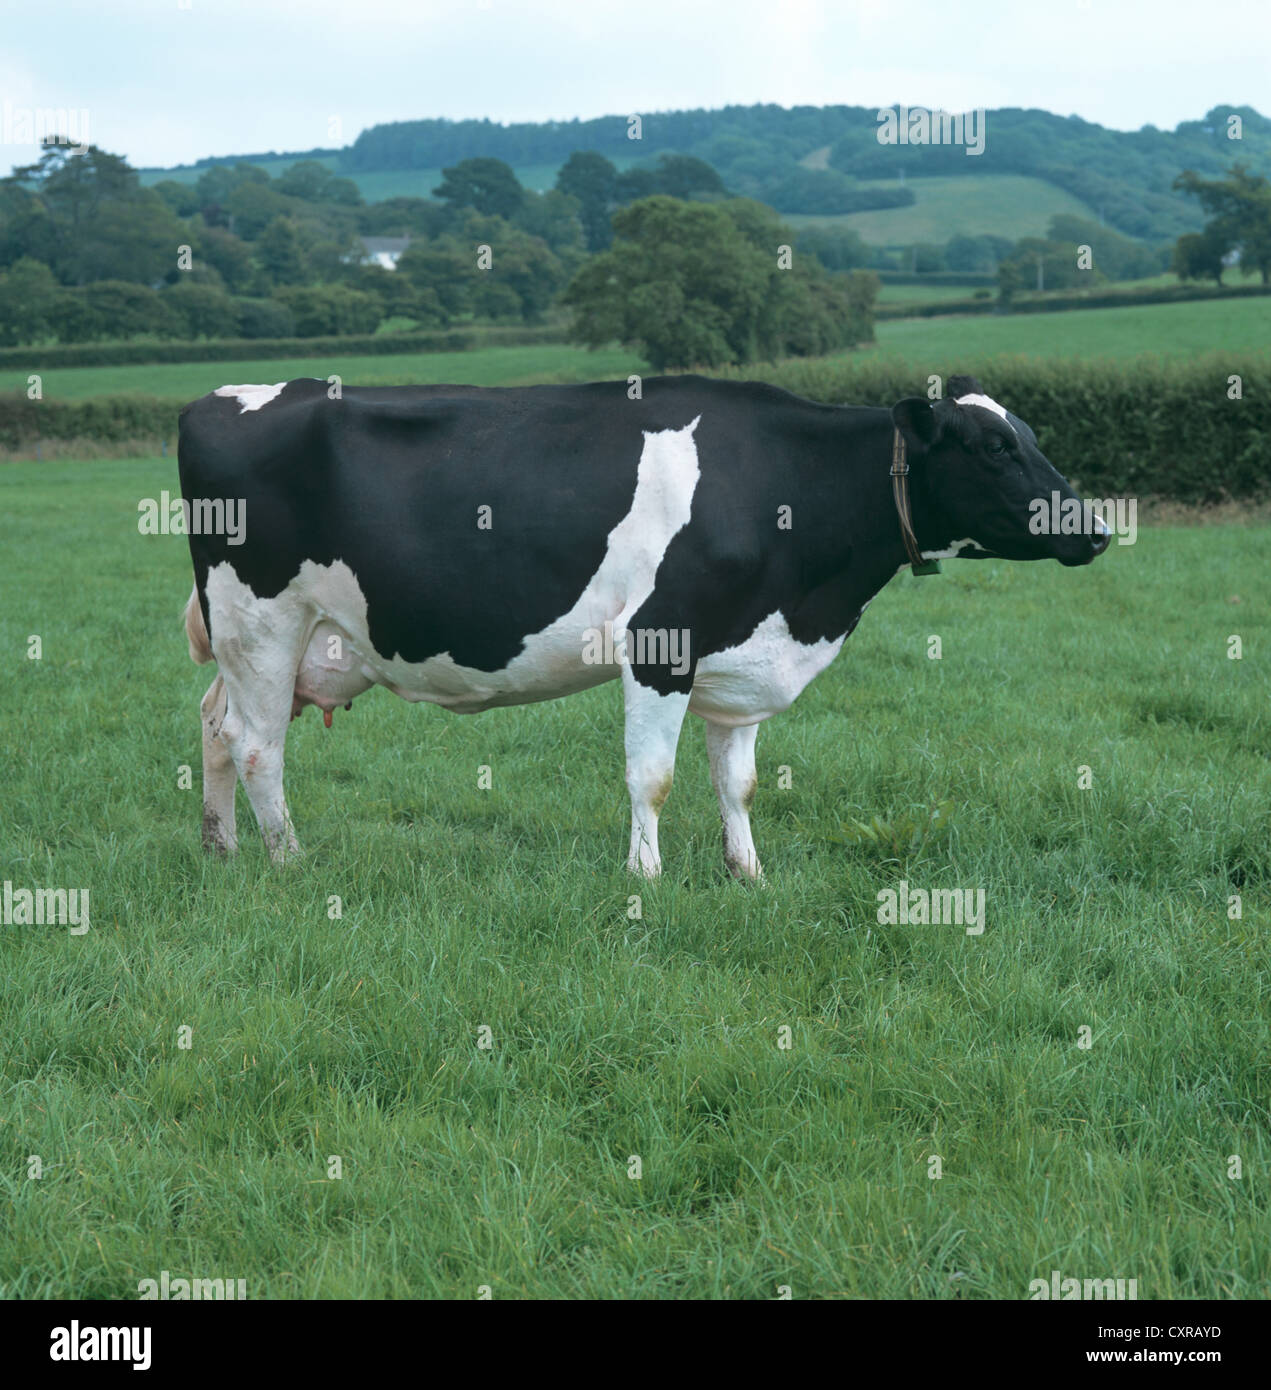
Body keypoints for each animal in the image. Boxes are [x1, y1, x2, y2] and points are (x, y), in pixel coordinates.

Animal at [179, 373, 1108, 877]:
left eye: (1029, 435)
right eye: (993, 449)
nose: (1094, 528)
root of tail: (221, 397)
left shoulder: (739, 659)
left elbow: (737, 783)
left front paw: (748, 874)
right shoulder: (662, 643)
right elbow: (651, 778)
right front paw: (645, 878)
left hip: (269, 640)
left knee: (216, 727)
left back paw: (222, 850)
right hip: (261, 619)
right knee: (259, 745)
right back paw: (289, 861)